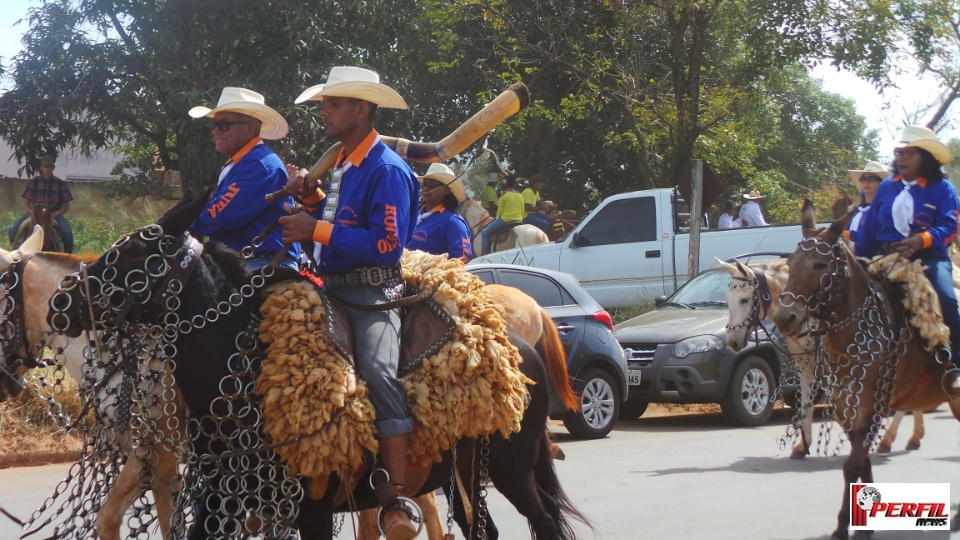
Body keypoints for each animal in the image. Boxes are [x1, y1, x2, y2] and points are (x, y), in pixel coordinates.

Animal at [54, 191, 592, 540]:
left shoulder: (310, 509)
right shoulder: (223, 500)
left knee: (545, 524)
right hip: (460, 474)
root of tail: (520, 343)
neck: (248, 374)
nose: (63, 299)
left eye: (134, 250)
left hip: (512, 467)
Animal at [720, 260, 928, 458]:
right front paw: (802, 445)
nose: (732, 341)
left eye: (745, 299)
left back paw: (890, 438)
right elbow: (810, 401)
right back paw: (912, 436)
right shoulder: (805, 365)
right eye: (727, 300)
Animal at [772, 201, 960, 540]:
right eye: (791, 263)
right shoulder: (846, 408)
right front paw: (859, 525)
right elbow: (861, 463)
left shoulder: (871, 407)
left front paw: (844, 527)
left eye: (820, 264)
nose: (784, 317)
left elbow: (851, 464)